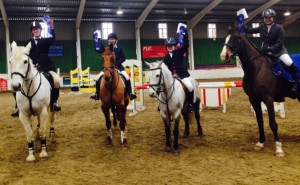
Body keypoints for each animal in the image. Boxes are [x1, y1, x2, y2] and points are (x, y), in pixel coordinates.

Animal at [219, 28, 298, 157]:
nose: (224, 56)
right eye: (226, 38)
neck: (256, 68)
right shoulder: (254, 99)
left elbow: (273, 124)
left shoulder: (268, 99)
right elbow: (260, 121)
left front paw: (279, 149)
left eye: (236, 38)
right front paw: (261, 143)